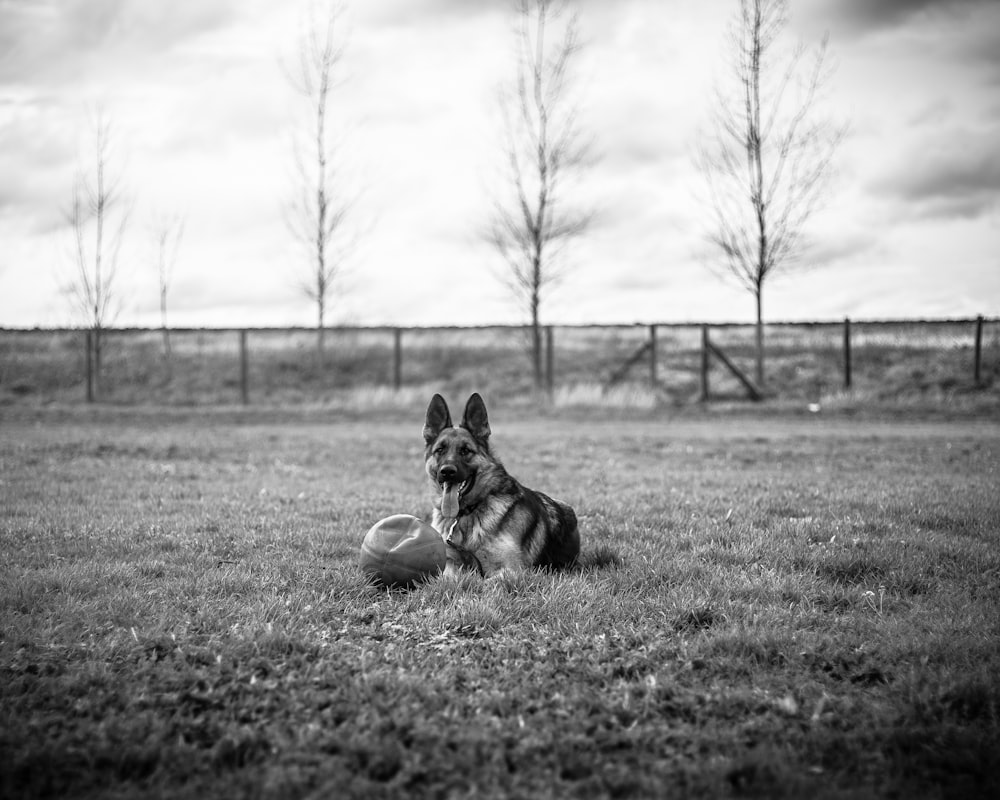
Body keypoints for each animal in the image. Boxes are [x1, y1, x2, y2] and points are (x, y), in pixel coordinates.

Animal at [420, 392, 580, 576]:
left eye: (465, 450)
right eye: (440, 450)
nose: (447, 471)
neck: (466, 514)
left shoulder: (511, 570)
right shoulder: (449, 564)